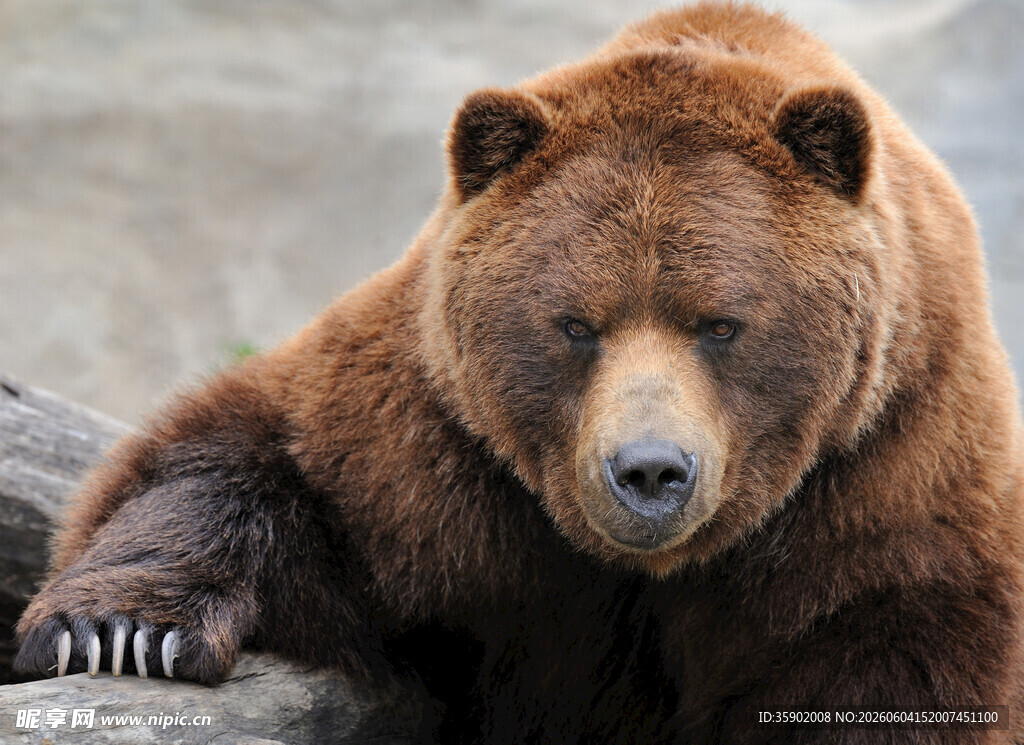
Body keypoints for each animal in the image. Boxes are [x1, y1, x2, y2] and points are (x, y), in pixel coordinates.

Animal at [15, 2, 1024, 743]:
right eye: (576, 324)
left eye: (722, 323)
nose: (649, 471)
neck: (649, 568)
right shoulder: (440, 447)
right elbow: (253, 456)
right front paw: (123, 631)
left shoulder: (886, 482)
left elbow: (890, 670)